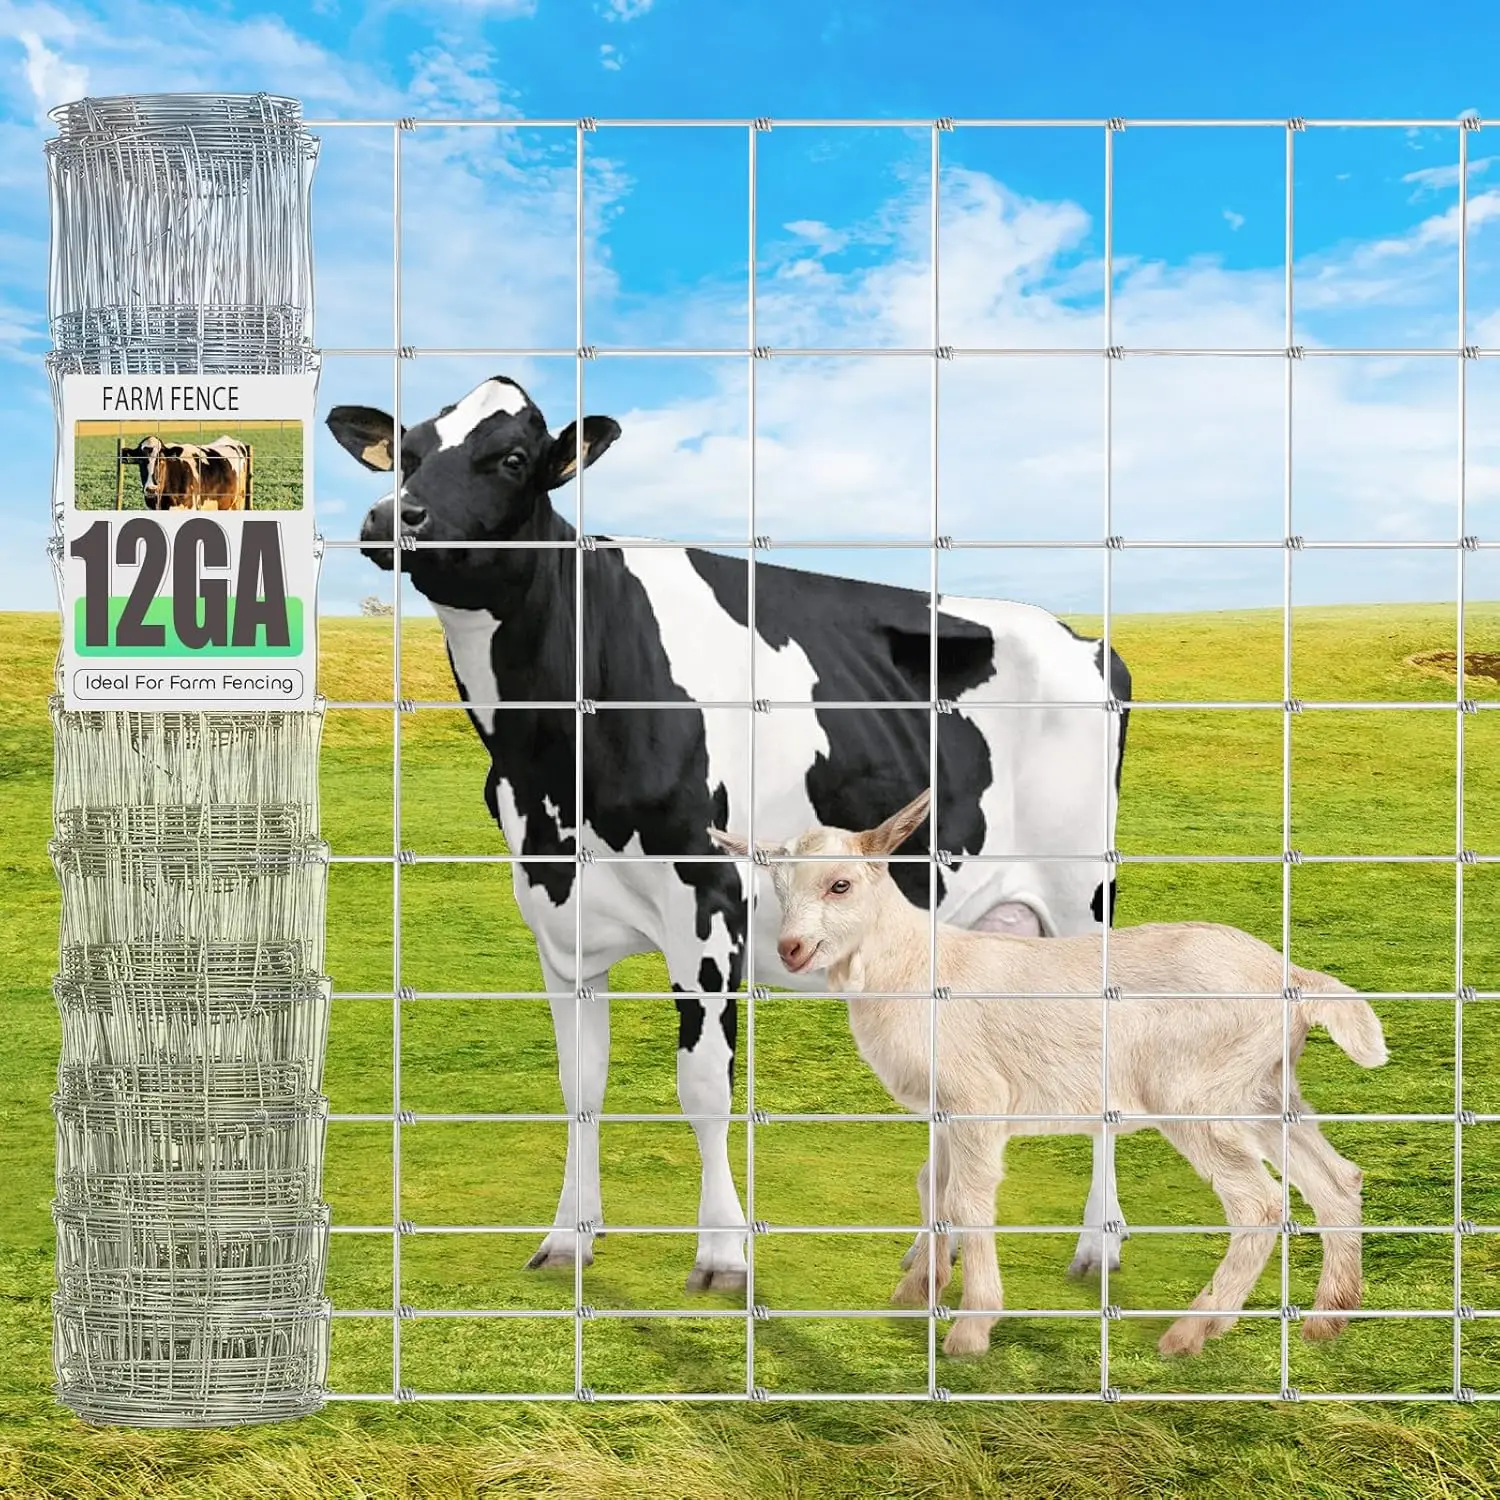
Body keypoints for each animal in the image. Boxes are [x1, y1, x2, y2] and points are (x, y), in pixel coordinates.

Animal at [326, 375, 1134, 1295]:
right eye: (409, 452)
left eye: (513, 459)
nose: (393, 515)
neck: (548, 755)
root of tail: (1085, 641)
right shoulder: (555, 914)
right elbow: (579, 1084)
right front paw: (569, 1237)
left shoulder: (707, 904)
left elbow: (704, 1088)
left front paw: (721, 1253)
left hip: (1082, 900)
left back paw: (1098, 1246)